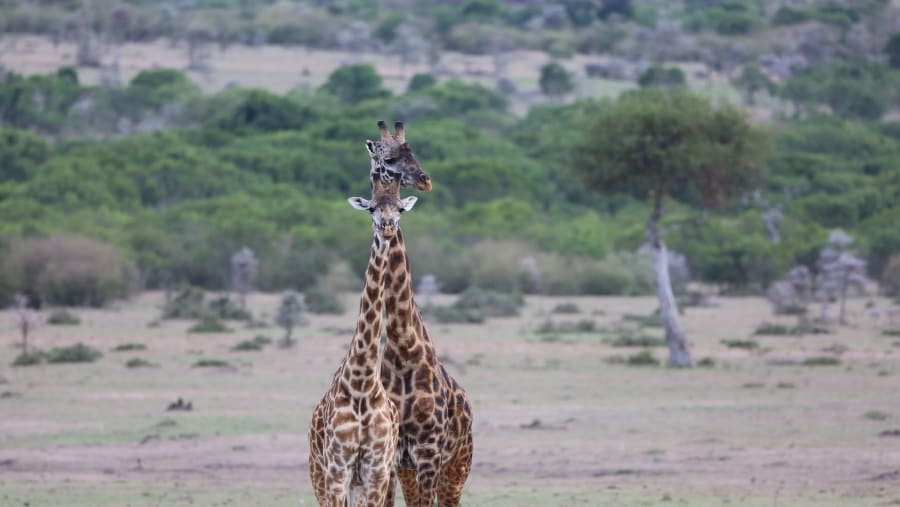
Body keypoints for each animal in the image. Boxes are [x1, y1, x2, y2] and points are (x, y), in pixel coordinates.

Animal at [308, 173, 417, 507]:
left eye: (400, 209)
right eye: (371, 208)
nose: (387, 226)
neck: (362, 385)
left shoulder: (375, 470)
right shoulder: (337, 469)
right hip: (319, 473)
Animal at [358, 124, 474, 507]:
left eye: (415, 152)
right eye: (390, 159)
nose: (425, 180)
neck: (403, 349)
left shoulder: (428, 452)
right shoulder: (394, 457)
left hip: (457, 467)